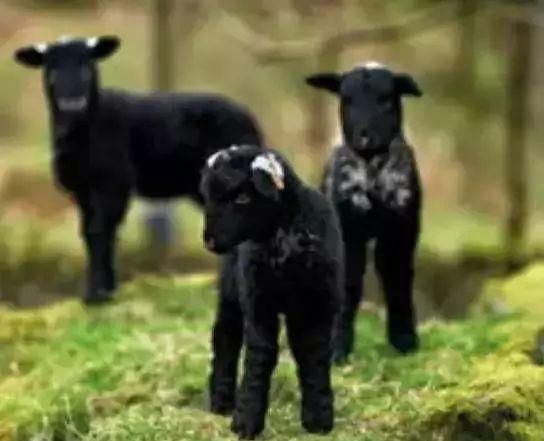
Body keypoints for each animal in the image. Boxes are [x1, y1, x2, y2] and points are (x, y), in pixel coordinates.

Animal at [200, 144, 344, 436]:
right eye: (208, 196)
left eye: (242, 197)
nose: (209, 241)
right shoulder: (258, 302)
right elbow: (260, 356)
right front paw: (245, 422)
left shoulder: (317, 306)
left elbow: (314, 355)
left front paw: (318, 420)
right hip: (232, 290)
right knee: (225, 336)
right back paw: (221, 400)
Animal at [306, 62, 424, 360]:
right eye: (346, 99)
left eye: (386, 100)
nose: (364, 136)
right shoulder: (348, 229)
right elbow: (348, 284)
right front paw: (337, 348)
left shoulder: (401, 228)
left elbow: (397, 280)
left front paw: (404, 340)